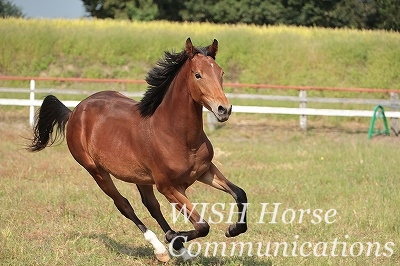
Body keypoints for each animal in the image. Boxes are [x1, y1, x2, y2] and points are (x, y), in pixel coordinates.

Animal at [28, 38, 247, 262]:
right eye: (198, 75)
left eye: (221, 73)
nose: (224, 109)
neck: (177, 135)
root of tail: (73, 113)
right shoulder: (169, 187)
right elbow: (202, 225)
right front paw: (175, 238)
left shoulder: (205, 171)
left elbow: (240, 194)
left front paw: (232, 229)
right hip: (96, 171)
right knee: (124, 205)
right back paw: (162, 249)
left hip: (140, 177)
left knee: (151, 205)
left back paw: (179, 249)